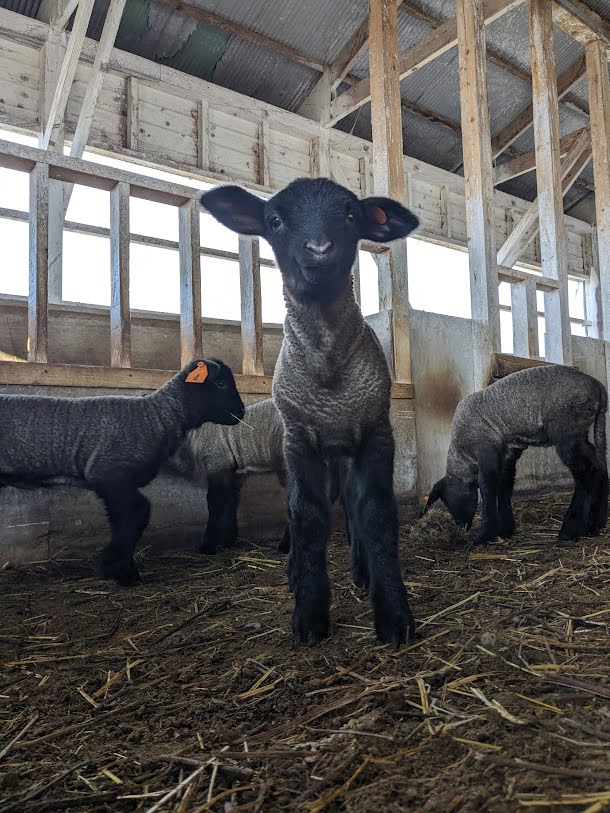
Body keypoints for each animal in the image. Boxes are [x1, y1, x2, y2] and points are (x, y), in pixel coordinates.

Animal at [0, 358, 242, 580]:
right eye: (221, 383)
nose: (241, 412)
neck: (157, 417)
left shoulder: (117, 484)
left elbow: (123, 521)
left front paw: (116, 565)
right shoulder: (110, 474)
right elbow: (137, 513)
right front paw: (121, 570)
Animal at [202, 174, 420, 644]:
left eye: (351, 214)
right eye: (274, 220)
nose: (319, 248)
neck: (327, 367)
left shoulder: (376, 434)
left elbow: (375, 514)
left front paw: (393, 613)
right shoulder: (299, 442)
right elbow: (307, 518)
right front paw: (308, 614)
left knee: (354, 507)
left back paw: (362, 571)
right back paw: (295, 571)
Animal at [426, 364, 604, 544]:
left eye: (447, 501)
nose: (461, 525)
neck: (462, 452)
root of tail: (598, 387)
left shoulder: (486, 452)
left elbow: (487, 489)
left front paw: (484, 535)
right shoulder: (508, 455)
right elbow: (504, 487)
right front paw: (505, 530)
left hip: (567, 431)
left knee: (586, 472)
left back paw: (571, 529)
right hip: (581, 432)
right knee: (599, 465)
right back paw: (595, 525)